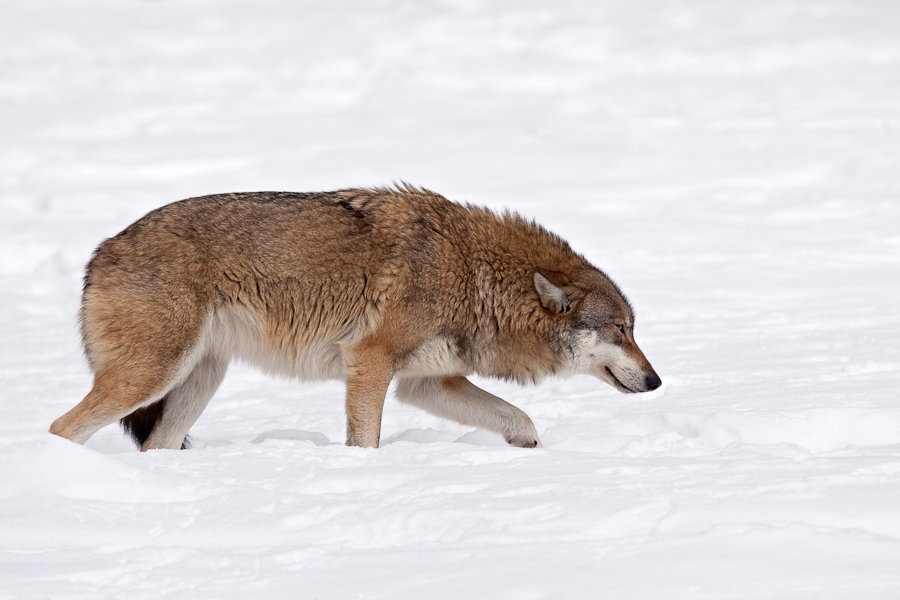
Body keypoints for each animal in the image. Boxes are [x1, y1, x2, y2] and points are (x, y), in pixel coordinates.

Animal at [49, 186, 660, 450]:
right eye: (622, 330)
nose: (656, 381)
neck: (474, 275)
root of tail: (102, 250)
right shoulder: (369, 361)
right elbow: (366, 441)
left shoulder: (426, 383)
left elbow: (521, 420)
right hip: (151, 377)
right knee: (61, 429)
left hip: (197, 380)